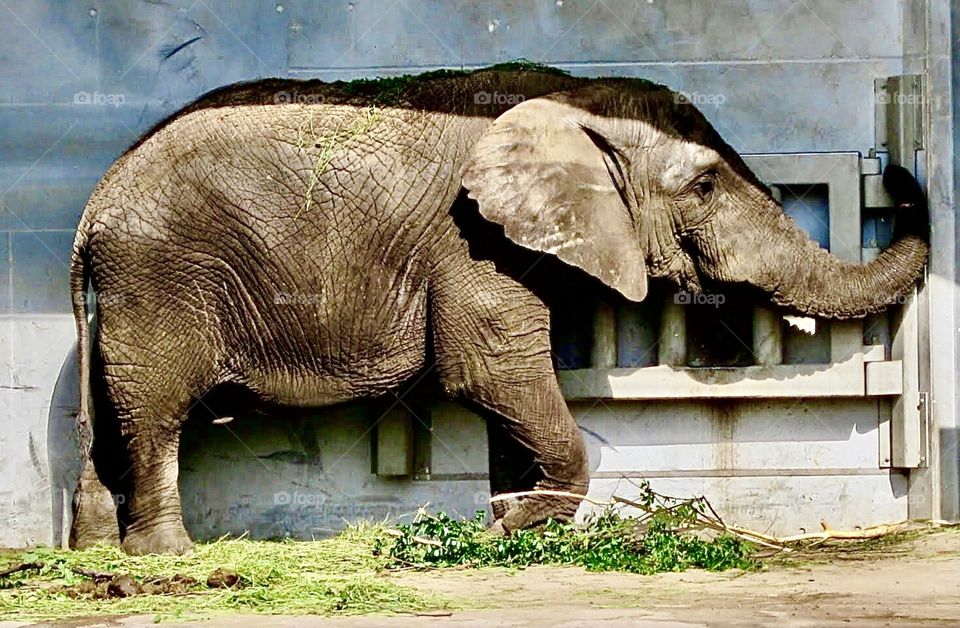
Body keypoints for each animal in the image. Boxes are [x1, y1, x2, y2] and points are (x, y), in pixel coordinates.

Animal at [68, 65, 928, 555]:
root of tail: (91, 210)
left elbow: (504, 391)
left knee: (108, 416)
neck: (573, 102)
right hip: (159, 277)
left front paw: (510, 519)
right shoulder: (473, 244)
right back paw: (168, 556)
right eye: (707, 185)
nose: (898, 169)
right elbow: (490, 369)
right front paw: (517, 524)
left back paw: (94, 549)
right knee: (155, 410)